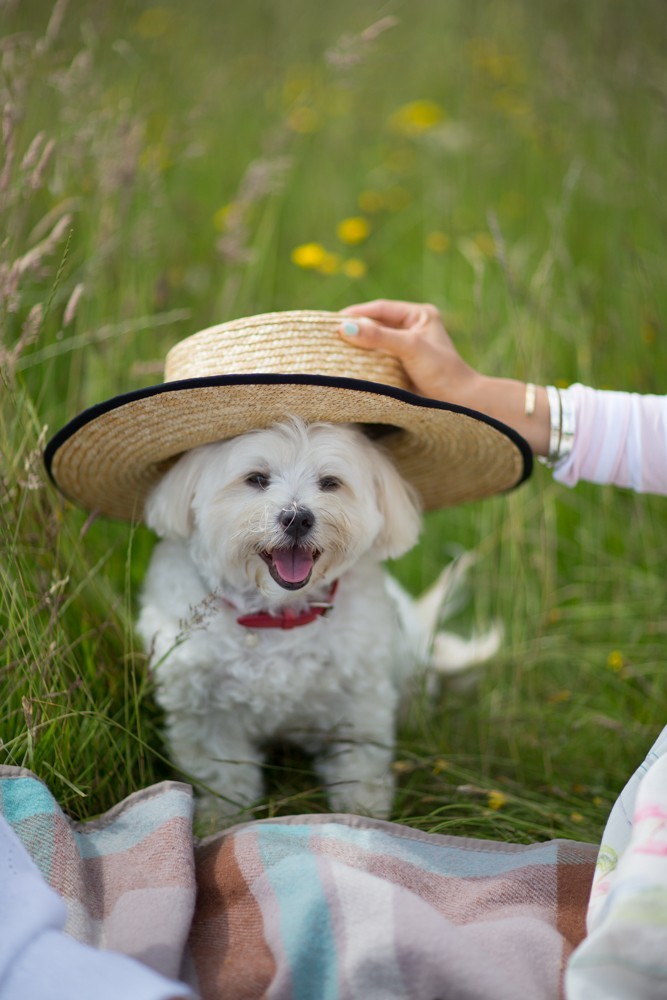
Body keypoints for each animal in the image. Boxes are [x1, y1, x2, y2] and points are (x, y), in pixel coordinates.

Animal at [138, 418, 498, 824]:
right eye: (256, 479)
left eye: (329, 482)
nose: (297, 517)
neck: (280, 614)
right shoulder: (204, 713)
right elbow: (223, 776)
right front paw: (220, 820)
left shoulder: (359, 704)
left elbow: (358, 765)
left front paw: (362, 813)